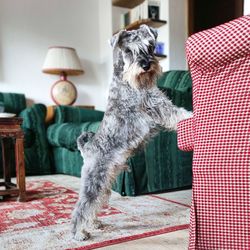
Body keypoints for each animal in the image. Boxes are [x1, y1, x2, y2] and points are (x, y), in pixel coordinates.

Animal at [71, 24, 192, 240]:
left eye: (151, 46)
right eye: (128, 50)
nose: (146, 65)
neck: (127, 79)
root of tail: (87, 148)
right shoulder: (157, 106)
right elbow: (179, 114)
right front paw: (194, 116)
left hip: (104, 184)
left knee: (94, 205)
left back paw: (94, 223)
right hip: (94, 181)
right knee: (82, 207)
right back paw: (79, 233)